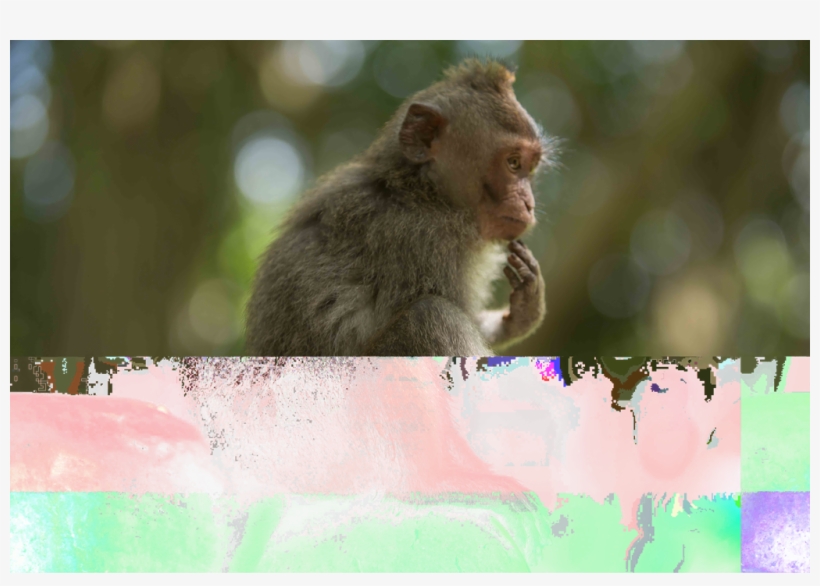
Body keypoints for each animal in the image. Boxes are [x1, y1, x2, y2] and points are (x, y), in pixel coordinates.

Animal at [246, 59, 559, 356]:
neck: (419, 190)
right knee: (432, 316)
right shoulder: (427, 244)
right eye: (513, 163)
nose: (529, 203)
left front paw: (522, 313)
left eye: (529, 167)